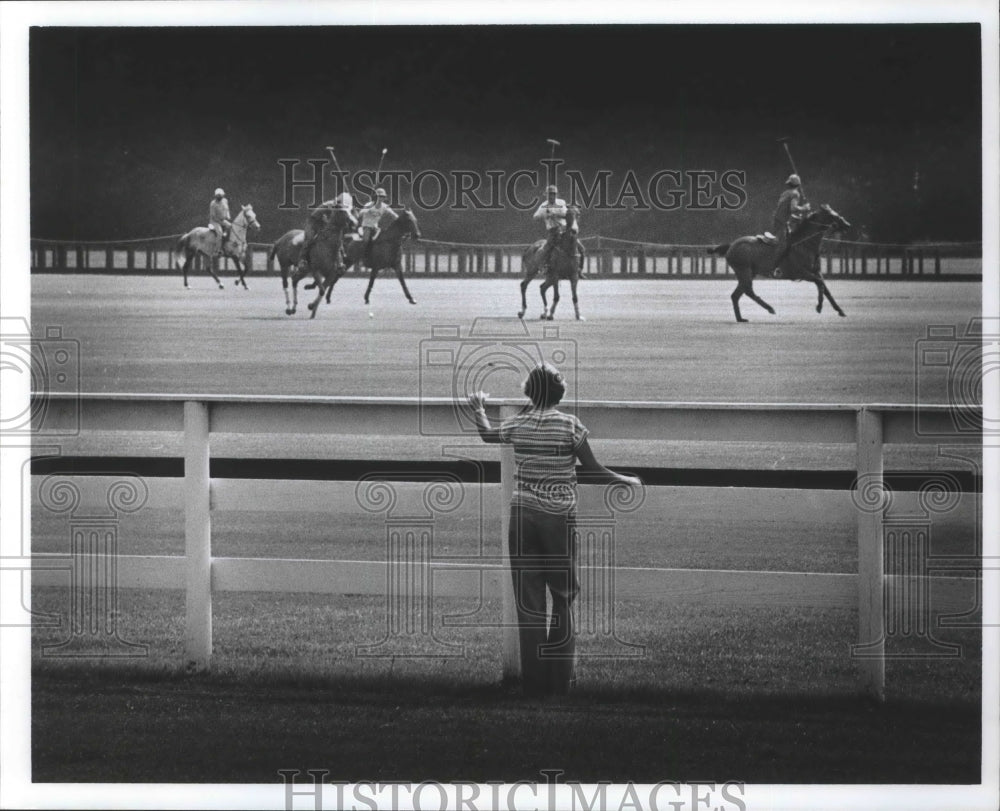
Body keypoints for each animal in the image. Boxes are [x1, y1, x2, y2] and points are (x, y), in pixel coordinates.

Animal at [272, 209, 420, 318]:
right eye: (409, 221)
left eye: (415, 220)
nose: (417, 235)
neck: (389, 241)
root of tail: (280, 239)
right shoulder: (376, 266)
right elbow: (371, 282)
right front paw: (366, 298)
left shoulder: (396, 266)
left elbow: (402, 282)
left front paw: (411, 298)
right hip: (288, 265)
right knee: (290, 282)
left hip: (328, 266)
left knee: (298, 279)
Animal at [712, 203, 852, 324]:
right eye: (832, 215)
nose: (848, 225)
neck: (805, 245)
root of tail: (731, 245)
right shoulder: (802, 273)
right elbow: (820, 284)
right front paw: (819, 306)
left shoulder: (816, 272)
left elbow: (825, 288)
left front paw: (840, 310)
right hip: (744, 271)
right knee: (748, 291)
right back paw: (770, 308)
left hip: (749, 273)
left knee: (736, 295)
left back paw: (741, 318)